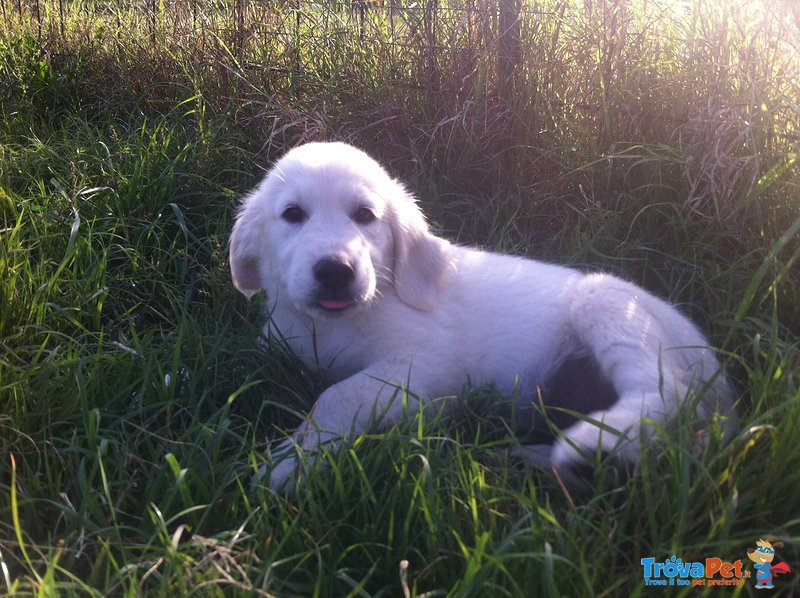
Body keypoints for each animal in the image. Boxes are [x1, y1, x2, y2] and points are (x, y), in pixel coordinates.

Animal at [228, 143, 736, 494]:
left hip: (605, 303)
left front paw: (291, 461)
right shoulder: (274, 344)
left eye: (365, 215)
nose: (336, 271)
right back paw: (531, 458)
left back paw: (596, 446)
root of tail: (724, 389)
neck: (330, 324)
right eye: (293, 214)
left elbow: (337, 394)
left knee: (668, 392)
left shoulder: (428, 367)